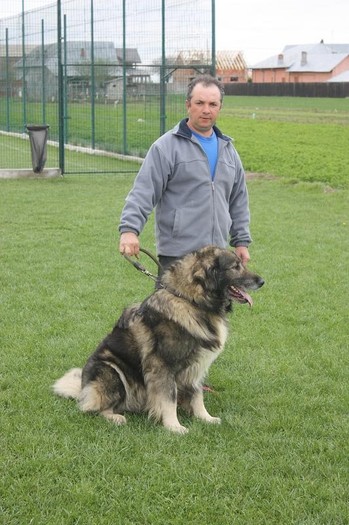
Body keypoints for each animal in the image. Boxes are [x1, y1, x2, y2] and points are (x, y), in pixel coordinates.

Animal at [53, 246, 262, 434]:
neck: (190, 301)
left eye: (241, 263)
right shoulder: (162, 366)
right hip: (110, 371)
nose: (262, 281)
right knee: (91, 408)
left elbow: (197, 396)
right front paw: (174, 426)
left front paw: (205, 418)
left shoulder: (196, 367)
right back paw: (115, 417)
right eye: (235, 267)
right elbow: (168, 399)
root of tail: (82, 389)